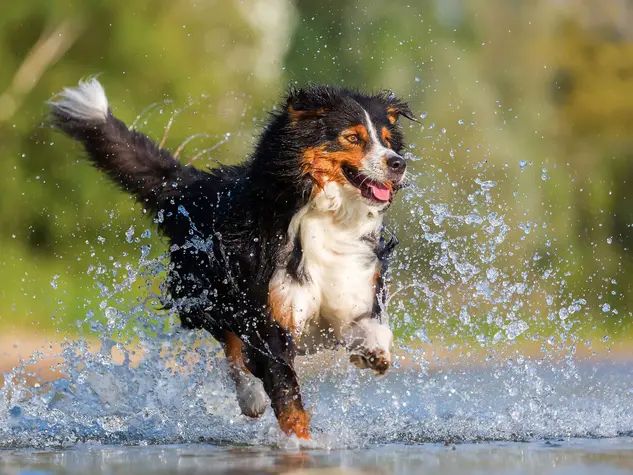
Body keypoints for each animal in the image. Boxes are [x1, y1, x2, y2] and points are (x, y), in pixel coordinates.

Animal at [49, 77, 414, 438]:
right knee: (232, 349)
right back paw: (250, 397)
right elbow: (286, 395)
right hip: (208, 297)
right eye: (352, 137)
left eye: (387, 141)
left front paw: (374, 352)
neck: (325, 215)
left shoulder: (352, 287)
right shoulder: (268, 317)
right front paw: (300, 443)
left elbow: (374, 326)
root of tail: (192, 185)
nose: (398, 163)